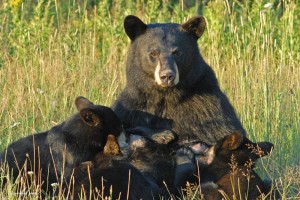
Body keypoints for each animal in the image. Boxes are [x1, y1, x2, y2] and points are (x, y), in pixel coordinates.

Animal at [112, 14, 246, 147]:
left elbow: (223, 131)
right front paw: (163, 135)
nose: (166, 76)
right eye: (153, 53)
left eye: (177, 52)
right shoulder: (135, 104)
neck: (165, 96)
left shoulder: (209, 106)